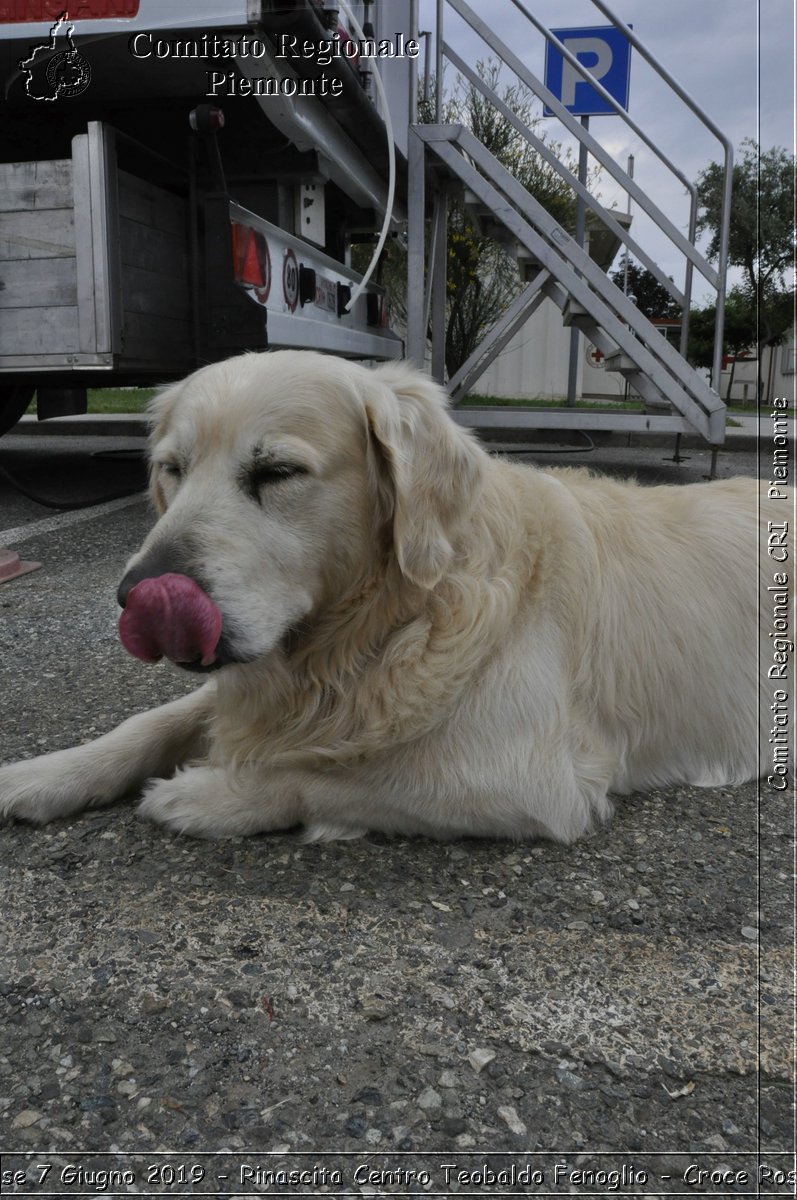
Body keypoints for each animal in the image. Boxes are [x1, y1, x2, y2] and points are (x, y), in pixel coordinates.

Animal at [0, 350, 782, 840]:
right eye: (172, 468)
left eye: (276, 471)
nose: (136, 595)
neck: (386, 621)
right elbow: (151, 722)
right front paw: (44, 773)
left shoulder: (526, 778)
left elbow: (324, 772)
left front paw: (207, 793)